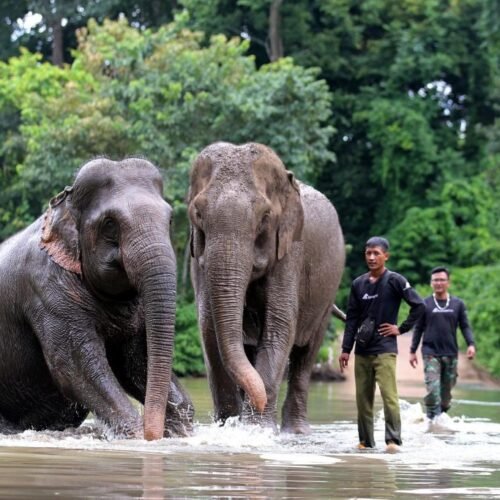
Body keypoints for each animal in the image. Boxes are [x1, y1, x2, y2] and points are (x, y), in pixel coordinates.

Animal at [0, 158, 193, 440]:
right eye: (110, 223)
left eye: (169, 220)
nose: (153, 433)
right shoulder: (46, 292)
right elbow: (75, 369)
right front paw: (137, 435)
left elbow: (136, 363)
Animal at [188, 142, 344, 434]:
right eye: (198, 214)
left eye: (265, 217)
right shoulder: (197, 257)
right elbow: (208, 327)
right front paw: (230, 427)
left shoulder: (291, 251)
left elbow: (279, 325)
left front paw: (257, 430)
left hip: (328, 293)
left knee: (306, 355)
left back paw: (295, 431)